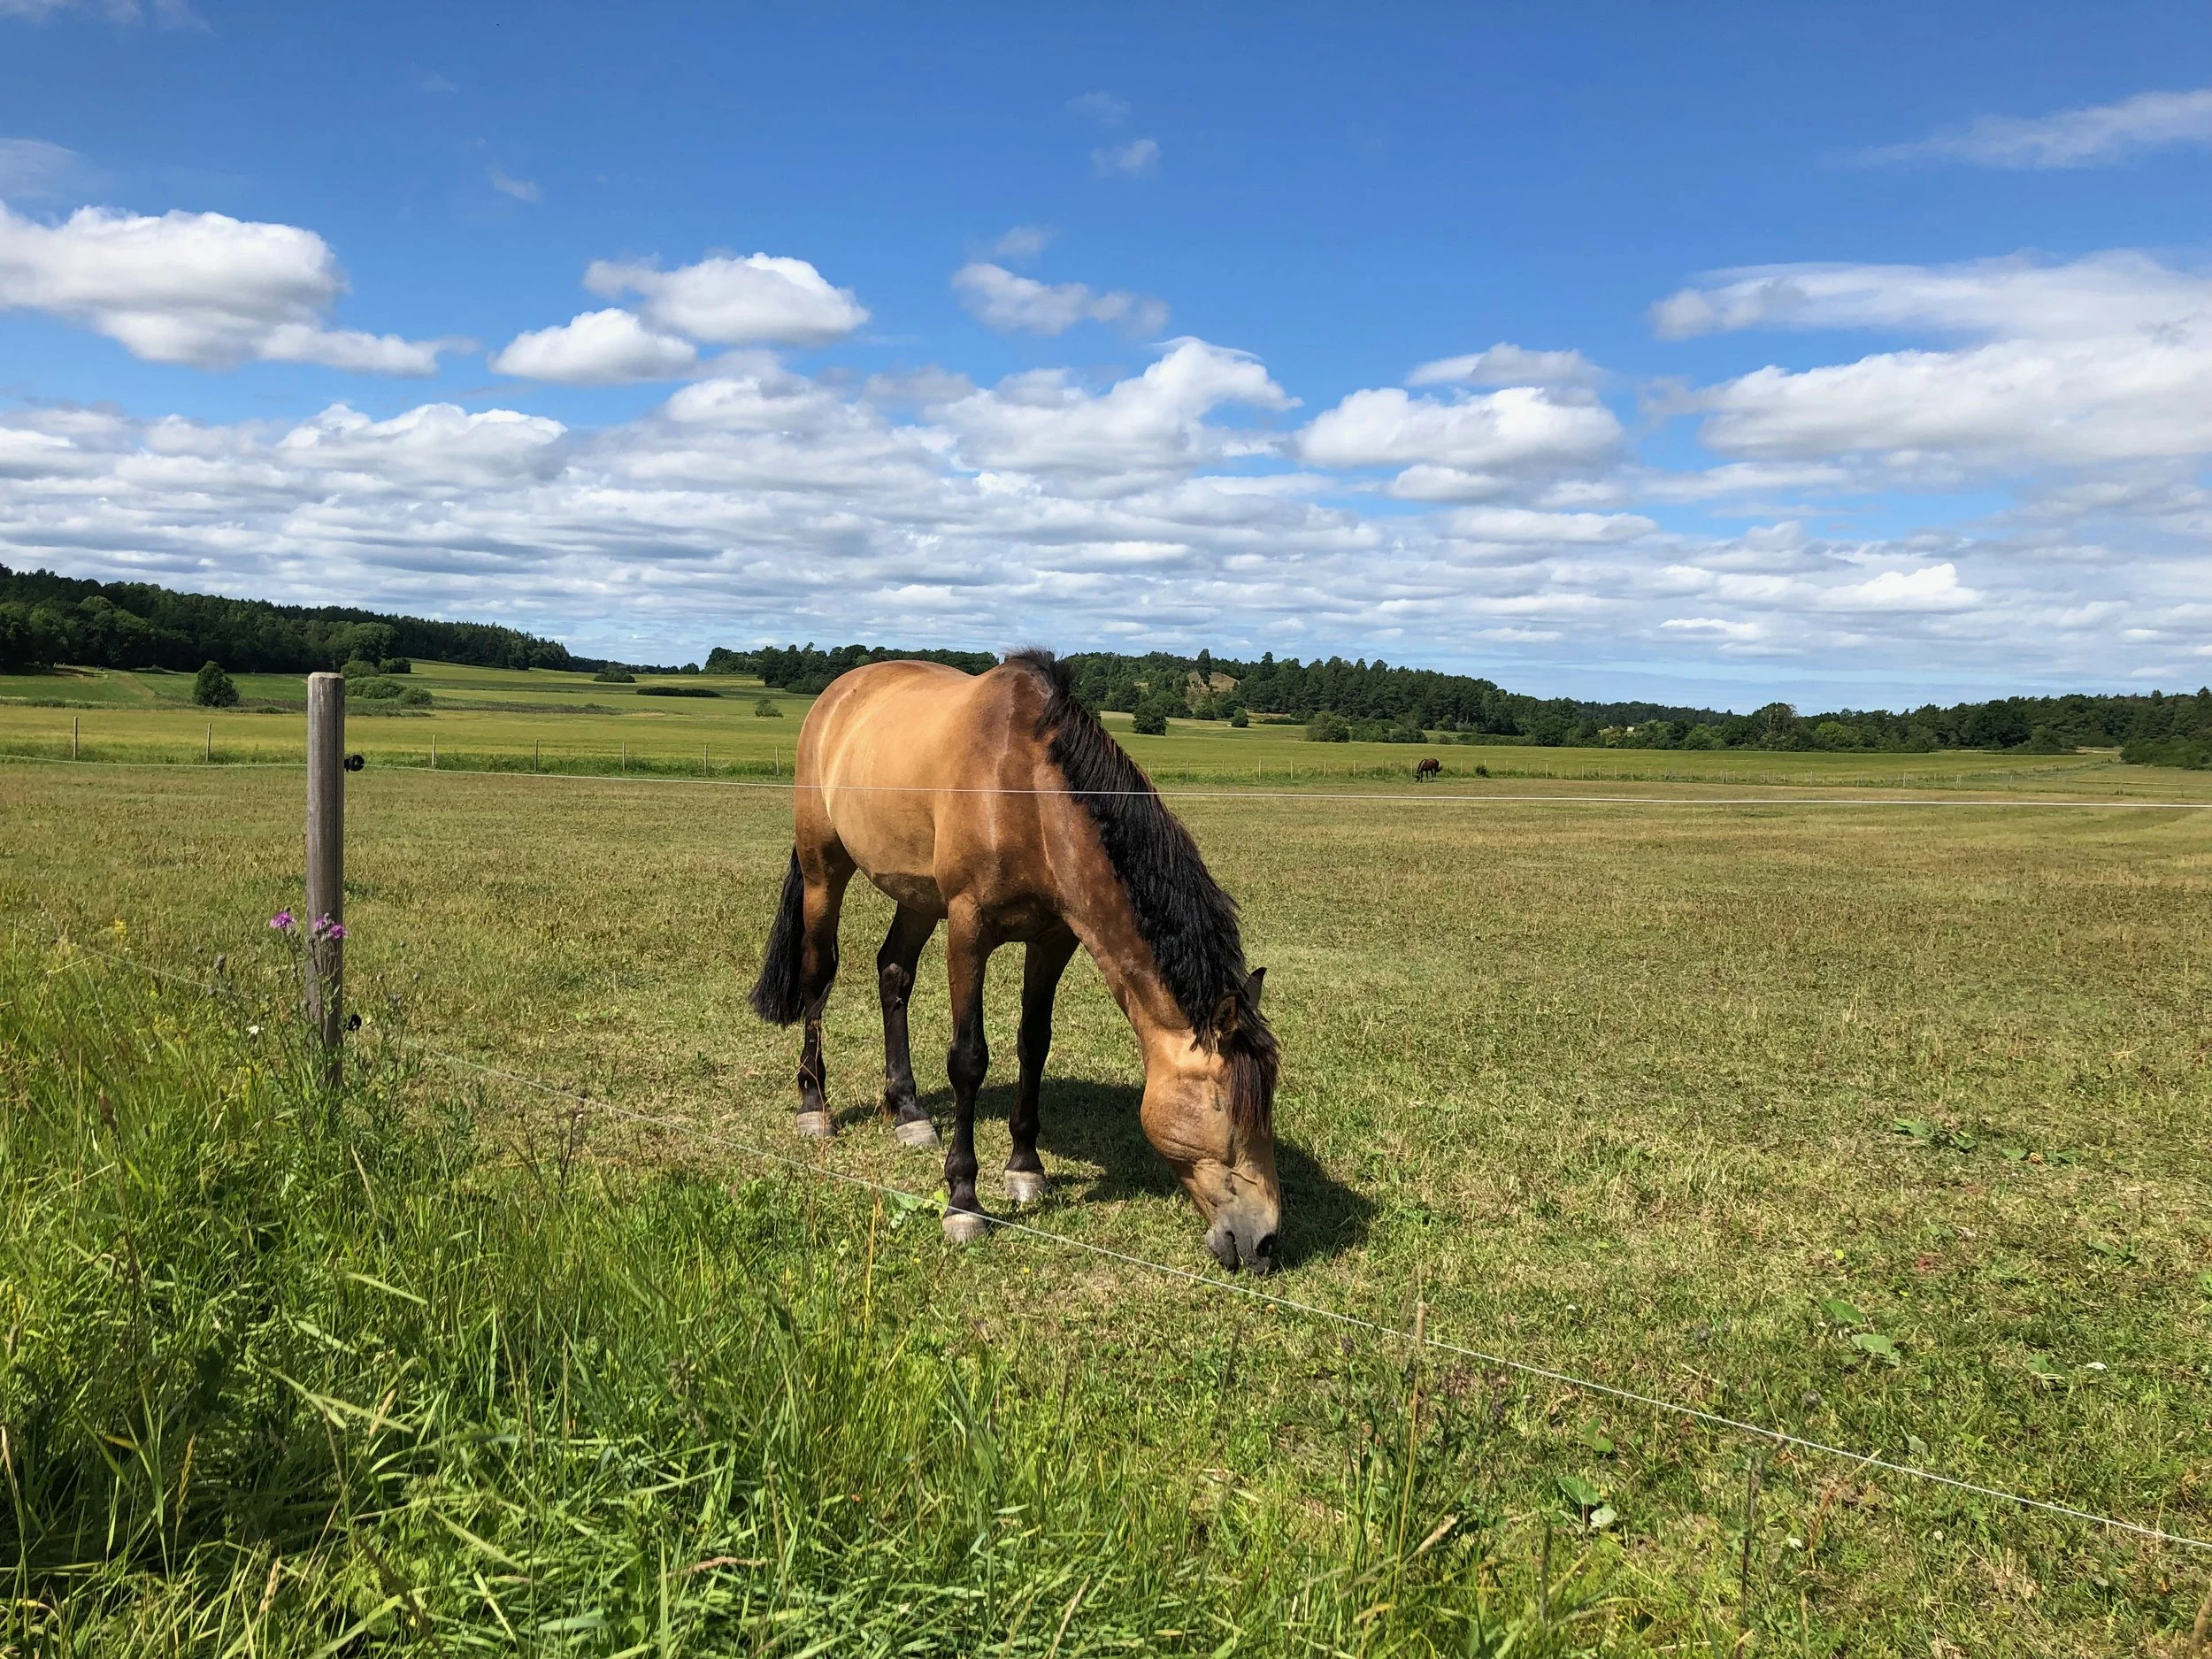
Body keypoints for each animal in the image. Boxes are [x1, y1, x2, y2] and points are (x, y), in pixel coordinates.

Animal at [748, 650, 1283, 1274]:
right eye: (1224, 1107)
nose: (1264, 1241)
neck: (1026, 790)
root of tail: (837, 694)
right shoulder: (968, 929)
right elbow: (968, 1060)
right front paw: (963, 1200)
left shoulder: (1052, 940)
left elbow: (1035, 1043)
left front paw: (1025, 1168)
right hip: (823, 870)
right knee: (817, 976)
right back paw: (815, 1106)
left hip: (916, 895)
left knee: (893, 974)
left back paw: (908, 1111)